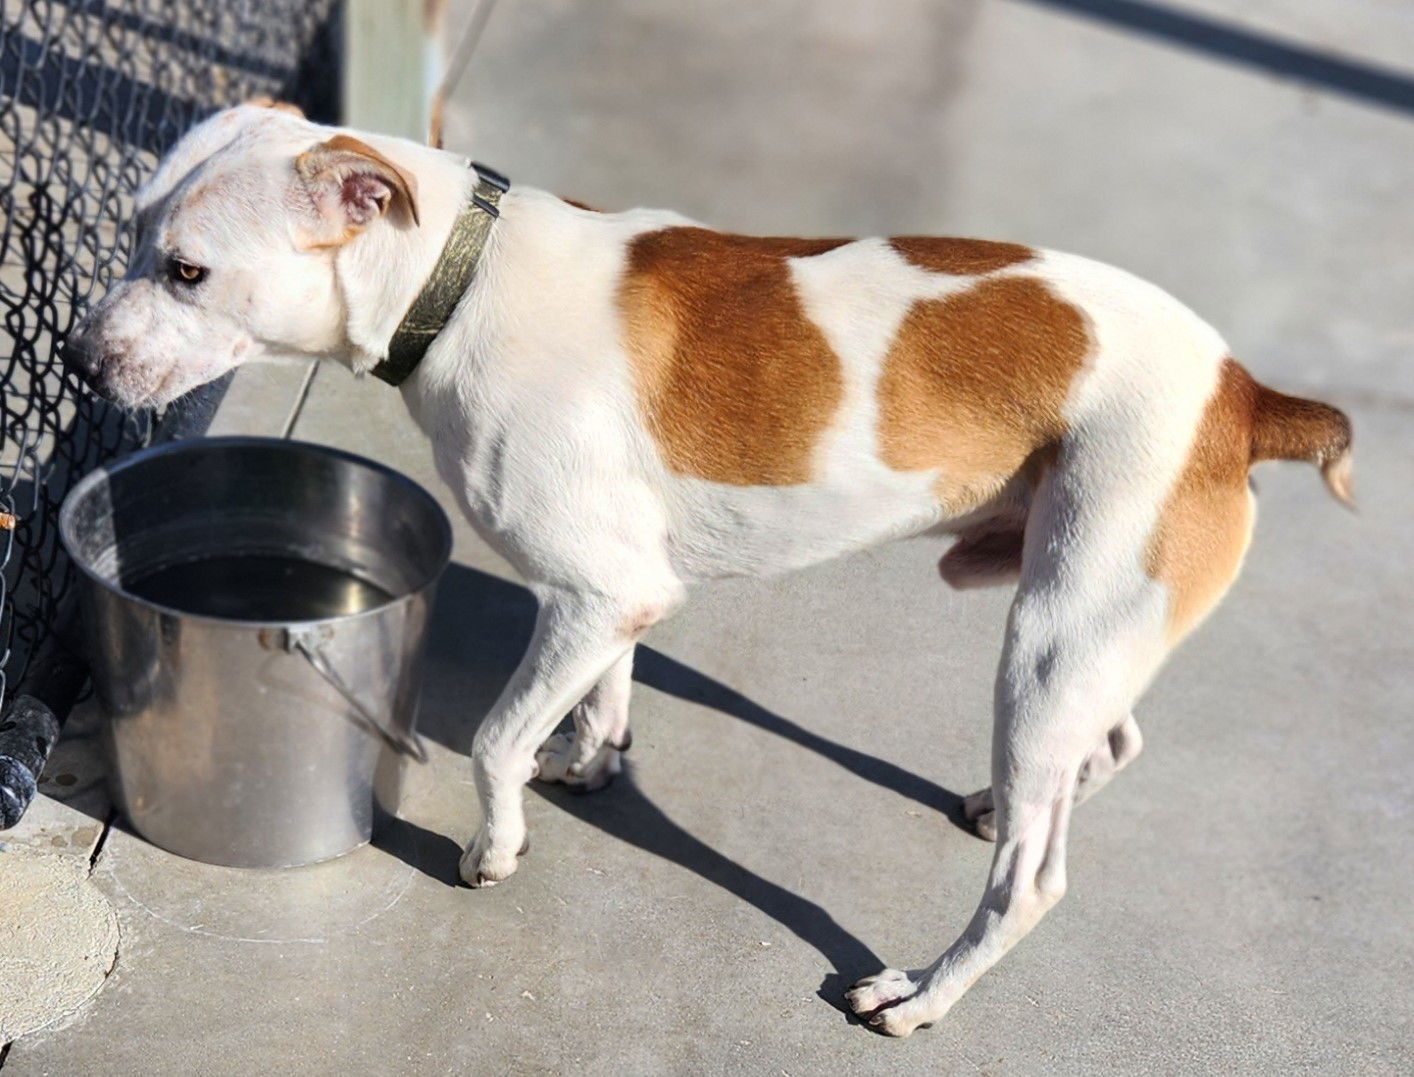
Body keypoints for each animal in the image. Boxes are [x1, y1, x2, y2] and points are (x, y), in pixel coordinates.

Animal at [63, 102, 1346, 1034]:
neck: (456, 280)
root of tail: (1244, 395)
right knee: (1107, 748)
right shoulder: (611, 595)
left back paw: (921, 994)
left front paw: (494, 847)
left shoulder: (599, 592)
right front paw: (589, 759)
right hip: (1077, 631)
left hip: (1049, 643)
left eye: (186, 271)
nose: (76, 361)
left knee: (1031, 880)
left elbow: (493, 740)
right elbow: (595, 695)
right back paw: (996, 805)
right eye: (128, 236)